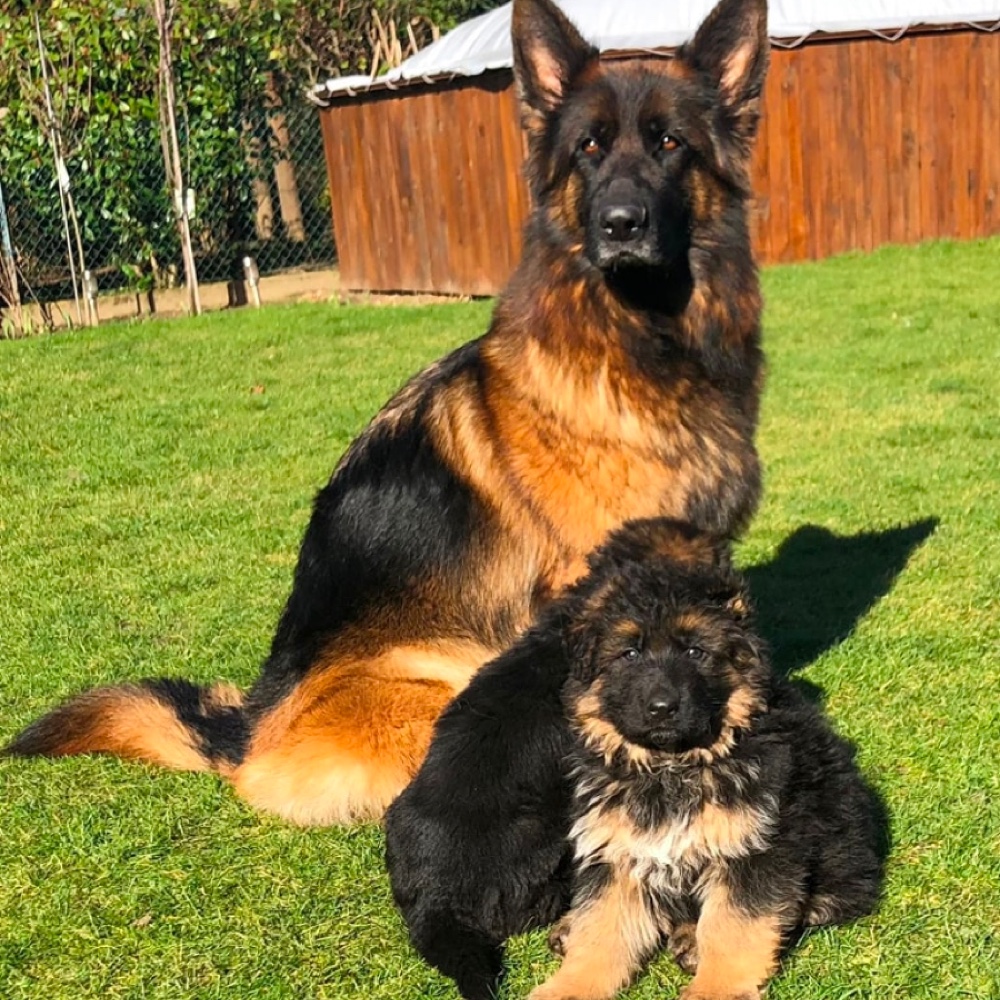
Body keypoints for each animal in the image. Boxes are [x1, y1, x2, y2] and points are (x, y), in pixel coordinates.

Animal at [5, 0, 764, 828]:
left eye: (670, 144)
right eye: (589, 149)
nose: (621, 224)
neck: (643, 343)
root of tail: (247, 733)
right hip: (448, 677)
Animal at [536, 556, 880, 1000]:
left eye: (695, 651)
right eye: (629, 653)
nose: (662, 708)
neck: (673, 766)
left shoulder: (757, 850)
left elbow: (732, 927)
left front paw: (715, 988)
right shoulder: (617, 849)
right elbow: (600, 929)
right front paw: (569, 986)